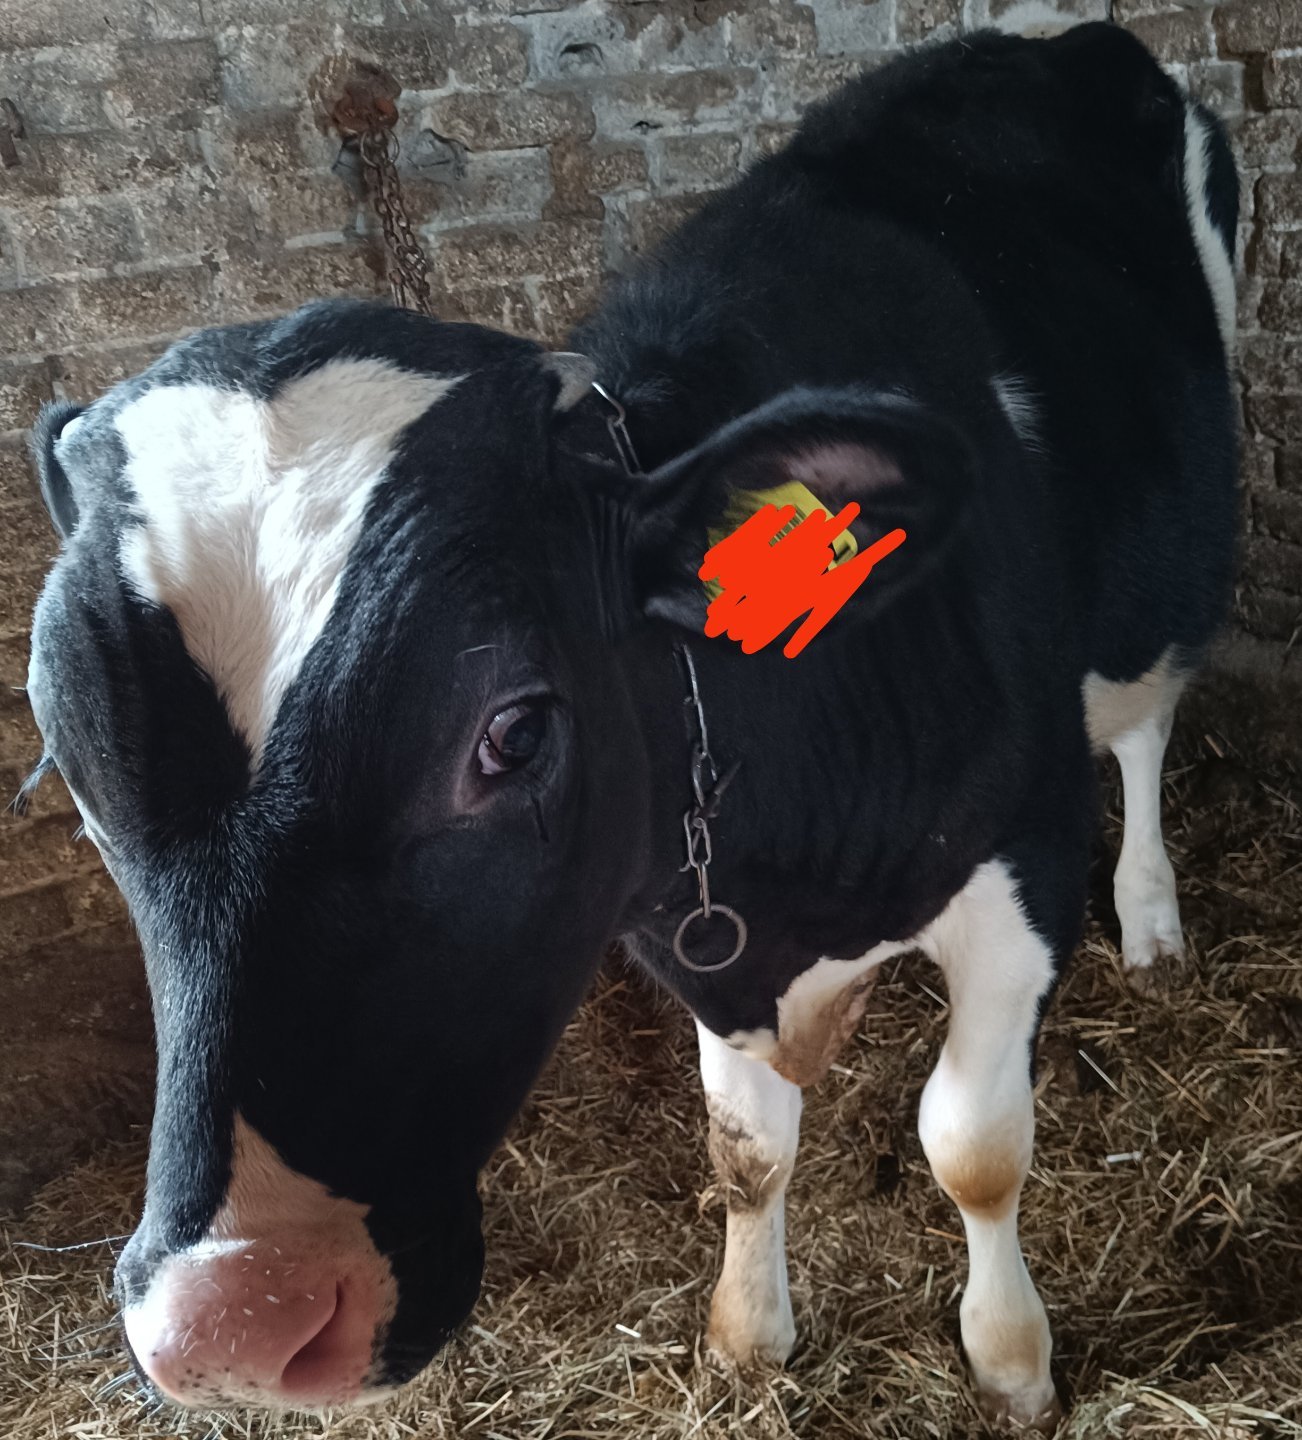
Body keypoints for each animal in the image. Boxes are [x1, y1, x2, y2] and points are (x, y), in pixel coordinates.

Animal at [23, 22, 1237, 1433]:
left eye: (513, 733)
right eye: (72, 765)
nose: (235, 1317)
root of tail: (1043, 37)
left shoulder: (1024, 857)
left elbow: (973, 1145)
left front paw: (1010, 1360)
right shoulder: (693, 933)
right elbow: (747, 1152)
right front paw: (749, 1335)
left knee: (1147, 718)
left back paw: (1151, 916)